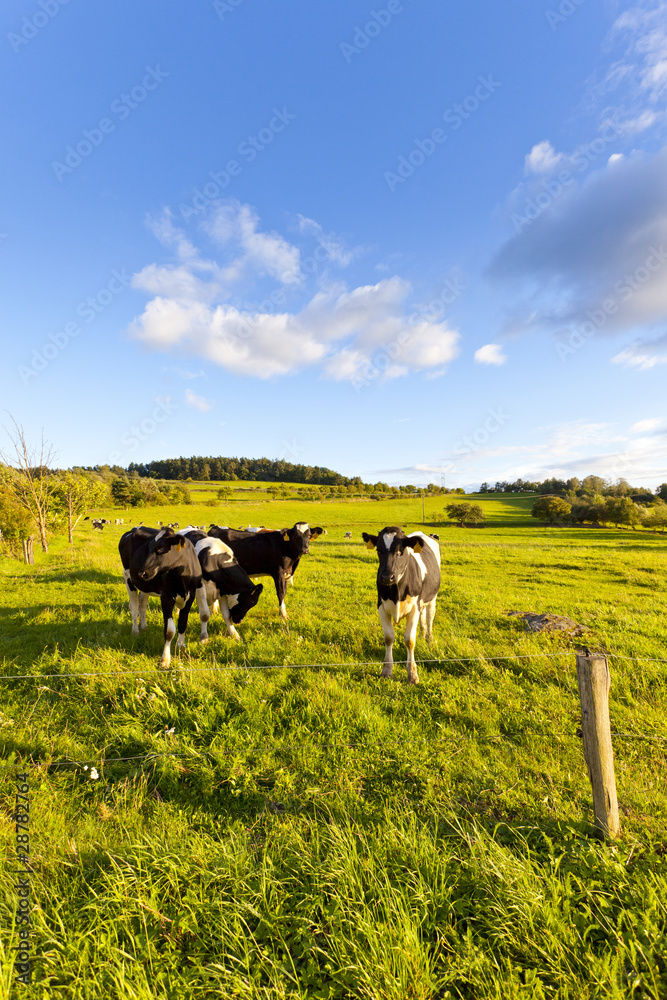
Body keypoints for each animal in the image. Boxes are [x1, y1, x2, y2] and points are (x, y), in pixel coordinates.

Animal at [118, 528, 209, 668]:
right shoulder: (166, 597)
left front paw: (181, 646)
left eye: (160, 549)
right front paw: (165, 659)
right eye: (149, 548)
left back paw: (143, 626)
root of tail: (134, 529)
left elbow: (183, 623)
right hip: (128, 578)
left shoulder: (191, 596)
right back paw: (135, 631)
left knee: (142, 604)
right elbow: (169, 630)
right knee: (134, 607)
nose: (141, 573)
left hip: (146, 586)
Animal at [362, 528, 440, 684]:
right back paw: (422, 635)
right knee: (423, 619)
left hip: (432, 598)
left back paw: (429, 639)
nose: (387, 577)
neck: (396, 591)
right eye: (379, 550)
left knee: (429, 618)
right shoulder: (381, 607)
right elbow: (389, 637)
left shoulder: (414, 608)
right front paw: (387, 670)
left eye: (400, 551)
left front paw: (412, 674)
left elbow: (409, 640)